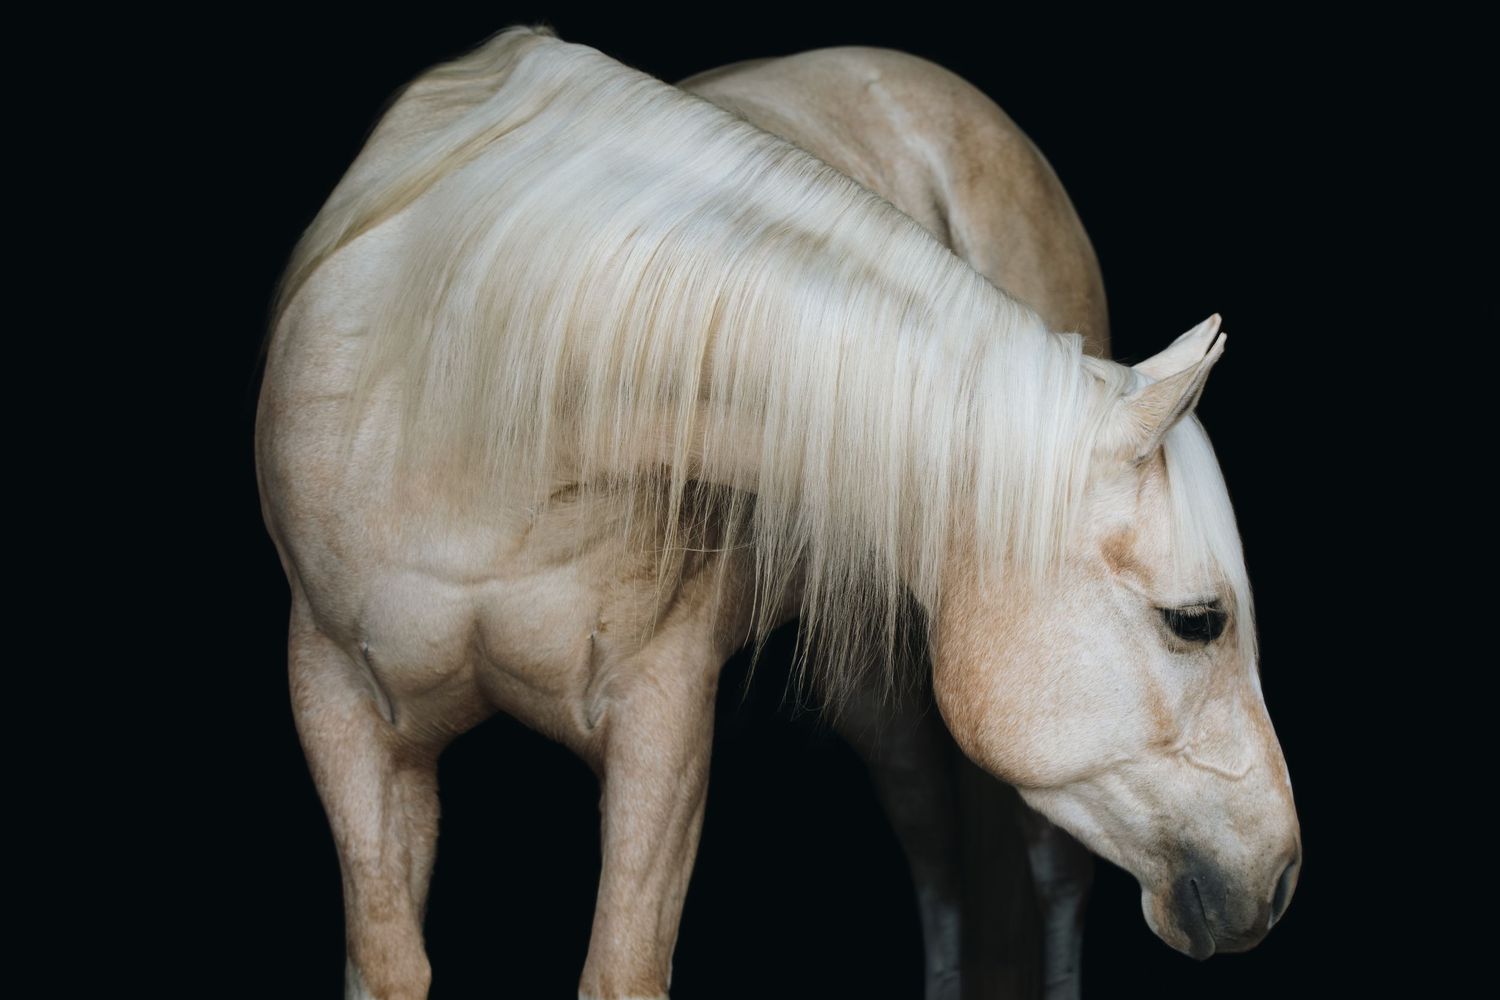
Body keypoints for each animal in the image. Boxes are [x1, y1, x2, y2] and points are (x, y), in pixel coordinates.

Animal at [255, 24, 1301, 1000]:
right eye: (1198, 621)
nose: (1282, 875)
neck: (457, 395)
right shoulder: (343, 714)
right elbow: (387, 967)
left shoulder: (662, 722)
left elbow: (621, 971)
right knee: (937, 857)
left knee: (1046, 877)